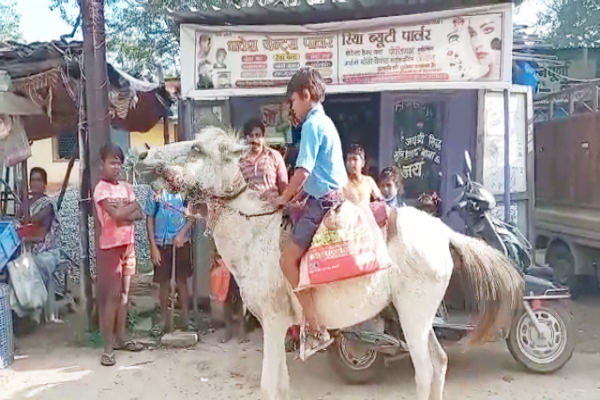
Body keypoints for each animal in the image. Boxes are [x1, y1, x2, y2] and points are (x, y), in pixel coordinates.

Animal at [135, 126, 520, 400]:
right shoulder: (278, 326)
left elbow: (269, 387)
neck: (255, 232)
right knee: (439, 365)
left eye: (197, 149)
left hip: (413, 315)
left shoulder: (273, 322)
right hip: (420, 319)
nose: (143, 155)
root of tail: (443, 232)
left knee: (425, 372)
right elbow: (282, 386)